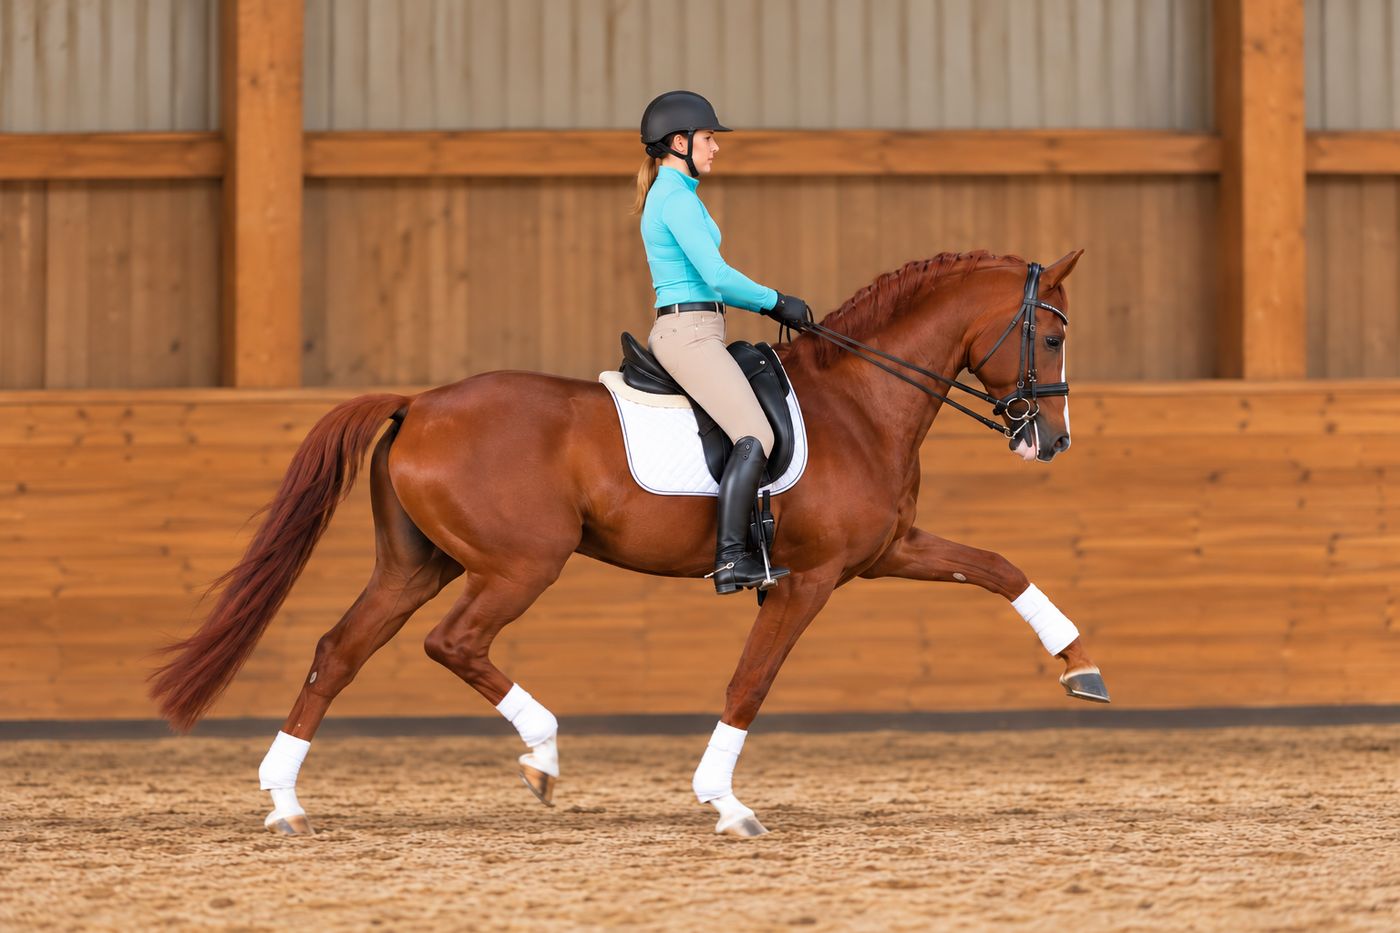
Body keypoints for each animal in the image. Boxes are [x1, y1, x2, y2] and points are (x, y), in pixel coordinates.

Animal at [150, 248, 1106, 838]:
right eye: (1054, 334)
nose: (1053, 440)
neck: (859, 401)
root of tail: (419, 402)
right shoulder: (810, 579)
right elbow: (751, 681)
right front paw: (725, 802)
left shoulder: (884, 551)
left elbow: (999, 567)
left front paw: (1081, 665)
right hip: (519, 564)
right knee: (453, 642)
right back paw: (541, 750)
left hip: (415, 565)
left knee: (337, 651)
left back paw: (284, 800)